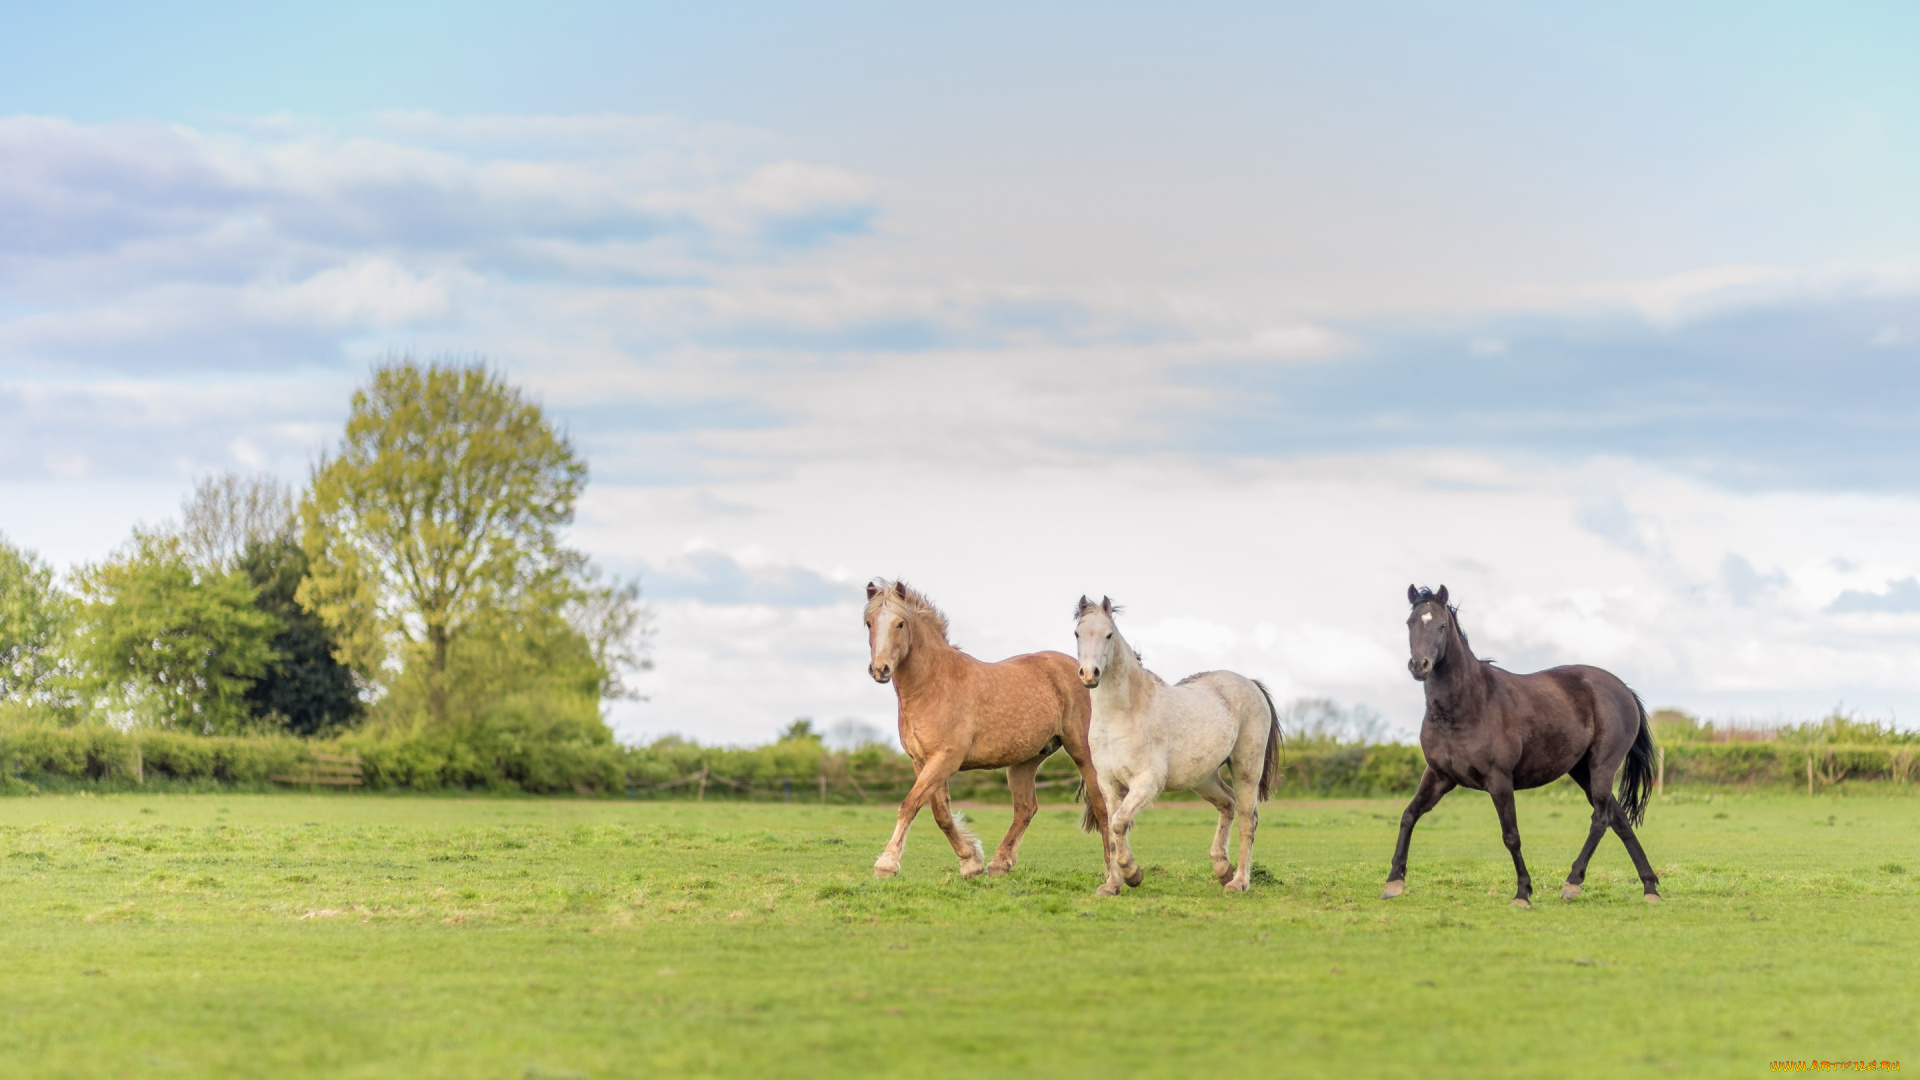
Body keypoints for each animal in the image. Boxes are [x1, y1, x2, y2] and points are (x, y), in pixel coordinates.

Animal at [867, 580, 1121, 876]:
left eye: (900, 623)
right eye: (869, 622)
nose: (880, 670)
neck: (932, 685)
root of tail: (1086, 672)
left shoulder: (944, 760)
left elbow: (909, 805)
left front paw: (886, 864)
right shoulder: (922, 762)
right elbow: (941, 815)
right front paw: (970, 861)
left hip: (1083, 753)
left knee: (1103, 806)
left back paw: (1112, 869)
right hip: (1025, 761)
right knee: (1025, 809)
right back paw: (1000, 863)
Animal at [1075, 595, 1282, 891]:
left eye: (1108, 634)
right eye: (1077, 633)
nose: (1089, 674)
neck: (1122, 714)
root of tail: (1251, 684)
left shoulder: (1147, 781)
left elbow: (1118, 824)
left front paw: (1133, 874)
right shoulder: (1108, 784)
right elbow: (1112, 829)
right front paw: (1112, 886)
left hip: (1246, 769)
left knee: (1247, 820)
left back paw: (1238, 882)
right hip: (1204, 779)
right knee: (1228, 804)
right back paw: (1222, 869)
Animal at [1382, 584, 1666, 903]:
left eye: (1442, 625)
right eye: (1410, 623)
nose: (1420, 666)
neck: (1467, 705)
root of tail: (1624, 690)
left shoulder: (1499, 780)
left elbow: (1511, 836)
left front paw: (1522, 892)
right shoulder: (1439, 776)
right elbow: (1409, 816)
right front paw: (1394, 881)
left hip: (1602, 767)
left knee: (1601, 819)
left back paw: (1573, 882)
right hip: (1583, 772)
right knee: (1619, 820)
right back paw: (1649, 887)